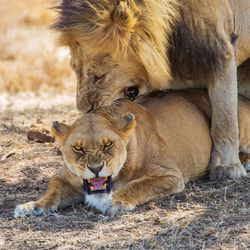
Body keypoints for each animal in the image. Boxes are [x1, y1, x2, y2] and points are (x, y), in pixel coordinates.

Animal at [14, 90, 250, 217]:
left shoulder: (170, 175)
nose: (95, 169)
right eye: (78, 148)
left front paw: (113, 201)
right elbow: (52, 192)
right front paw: (32, 206)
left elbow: (138, 185)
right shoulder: (63, 178)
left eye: (108, 145)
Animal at [51, 0, 250, 180]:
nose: (85, 110)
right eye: (74, 69)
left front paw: (227, 167)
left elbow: (224, 121)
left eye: (99, 76)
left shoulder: (219, 54)